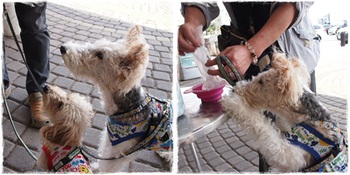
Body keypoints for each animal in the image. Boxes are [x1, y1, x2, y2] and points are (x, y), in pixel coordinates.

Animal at [59, 25, 173, 172]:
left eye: (100, 55)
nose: (63, 48)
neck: (131, 108)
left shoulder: (119, 152)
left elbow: (107, 167)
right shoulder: (110, 139)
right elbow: (102, 155)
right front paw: (95, 167)